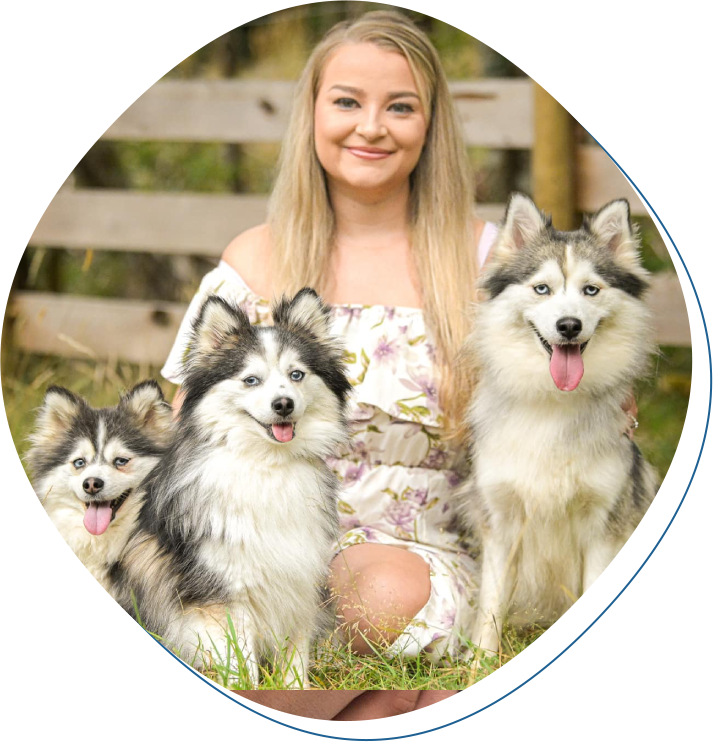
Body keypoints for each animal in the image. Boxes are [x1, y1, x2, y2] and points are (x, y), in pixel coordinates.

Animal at [110, 290, 350, 692]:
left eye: (297, 375)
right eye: (251, 380)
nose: (283, 404)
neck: (267, 465)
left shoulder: (299, 581)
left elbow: (295, 657)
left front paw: (296, 690)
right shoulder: (224, 594)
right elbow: (241, 665)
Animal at [458, 196, 660, 656]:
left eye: (591, 290)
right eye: (541, 289)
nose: (569, 325)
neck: (553, 402)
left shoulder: (604, 523)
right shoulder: (501, 520)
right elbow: (491, 605)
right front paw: (480, 661)